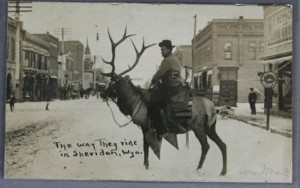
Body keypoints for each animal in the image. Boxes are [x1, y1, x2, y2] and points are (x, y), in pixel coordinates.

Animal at [99, 27, 226, 176]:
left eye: (113, 83)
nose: (102, 93)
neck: (132, 103)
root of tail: (212, 108)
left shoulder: (145, 126)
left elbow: (146, 147)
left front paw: (146, 165)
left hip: (198, 126)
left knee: (206, 146)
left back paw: (199, 168)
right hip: (210, 127)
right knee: (223, 145)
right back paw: (223, 171)